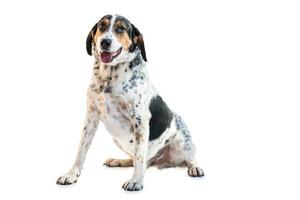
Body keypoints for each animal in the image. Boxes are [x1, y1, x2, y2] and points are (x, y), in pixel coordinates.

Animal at [56, 13, 204, 191]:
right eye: (102, 26)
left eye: (121, 28)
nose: (105, 42)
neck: (109, 77)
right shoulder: (91, 116)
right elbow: (81, 149)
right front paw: (71, 174)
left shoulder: (139, 120)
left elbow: (139, 157)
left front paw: (136, 181)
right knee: (139, 160)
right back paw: (118, 161)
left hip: (182, 144)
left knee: (186, 158)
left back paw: (195, 167)